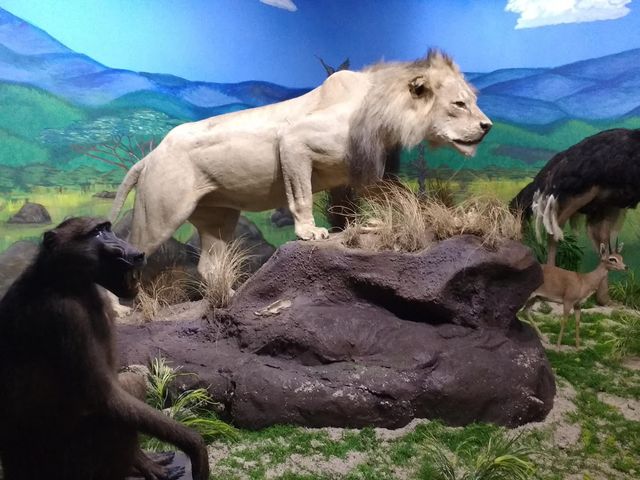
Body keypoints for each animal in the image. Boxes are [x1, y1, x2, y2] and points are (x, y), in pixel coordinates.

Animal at [110, 49, 491, 278]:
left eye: (472, 100)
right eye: (459, 104)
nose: (487, 126)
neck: (385, 116)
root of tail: (152, 154)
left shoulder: (371, 175)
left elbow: (407, 200)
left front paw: (453, 217)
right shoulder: (294, 142)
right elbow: (302, 195)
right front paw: (310, 233)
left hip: (218, 218)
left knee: (210, 267)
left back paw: (228, 301)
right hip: (159, 217)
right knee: (132, 254)